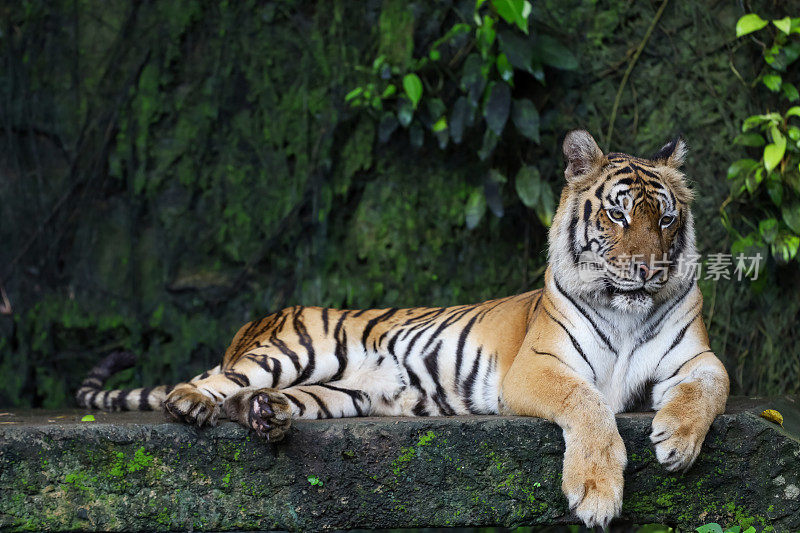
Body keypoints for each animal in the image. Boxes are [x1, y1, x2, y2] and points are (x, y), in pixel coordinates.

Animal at [78, 130, 728, 528]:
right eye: (617, 213)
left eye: (666, 218)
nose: (649, 270)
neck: (627, 310)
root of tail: (258, 320)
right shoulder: (540, 367)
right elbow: (588, 405)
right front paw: (595, 493)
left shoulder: (693, 358)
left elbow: (710, 384)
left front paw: (677, 440)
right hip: (292, 351)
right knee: (205, 383)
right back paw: (193, 405)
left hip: (342, 393)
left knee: (251, 398)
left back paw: (268, 416)